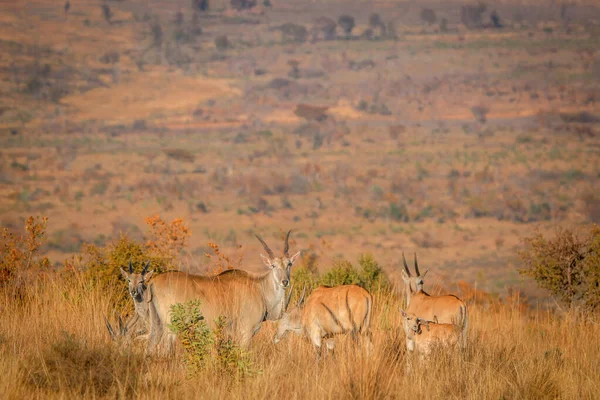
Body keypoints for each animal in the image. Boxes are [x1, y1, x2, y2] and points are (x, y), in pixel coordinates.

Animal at [146, 230, 300, 354]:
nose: (285, 282)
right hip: (170, 326)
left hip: (157, 325)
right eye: (273, 265)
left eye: (289, 264)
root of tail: (153, 281)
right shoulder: (246, 332)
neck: (259, 288)